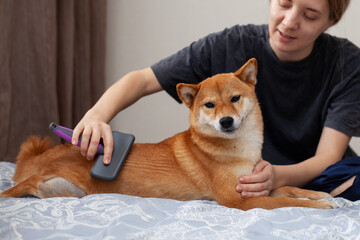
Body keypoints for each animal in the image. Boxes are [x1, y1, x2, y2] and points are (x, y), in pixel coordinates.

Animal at [0, 58, 338, 210]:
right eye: (210, 105)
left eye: (235, 98)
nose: (226, 121)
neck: (238, 150)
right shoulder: (239, 200)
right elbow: (287, 203)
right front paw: (320, 206)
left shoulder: (257, 185)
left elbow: (290, 189)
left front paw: (321, 194)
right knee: (19, 186)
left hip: (64, 190)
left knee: (34, 187)